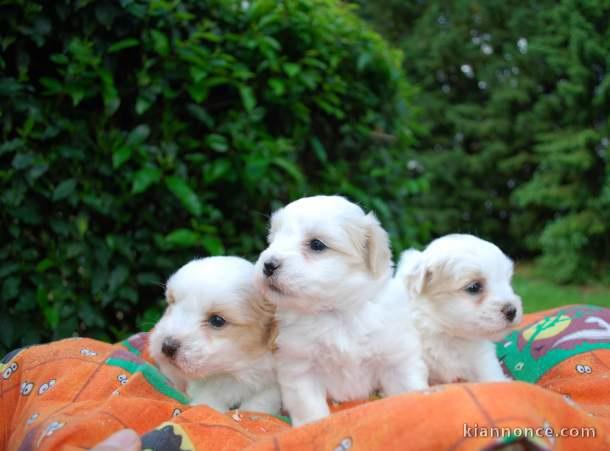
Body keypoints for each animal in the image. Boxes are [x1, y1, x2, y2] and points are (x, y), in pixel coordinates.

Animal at [148, 258, 282, 416]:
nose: (167, 346)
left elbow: (260, 403)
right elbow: (209, 400)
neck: (231, 372)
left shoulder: (271, 383)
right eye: (172, 303)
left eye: (217, 321)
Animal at [254, 195, 426, 428]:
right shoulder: (300, 367)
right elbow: (309, 408)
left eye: (316, 244)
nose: (268, 264)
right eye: (272, 240)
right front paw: (313, 427)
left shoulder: (397, 358)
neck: (336, 312)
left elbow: (409, 389)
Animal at [394, 235, 524, 386]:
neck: (447, 335)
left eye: (509, 281)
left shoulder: (483, 360)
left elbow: (493, 378)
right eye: (474, 287)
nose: (512, 311)